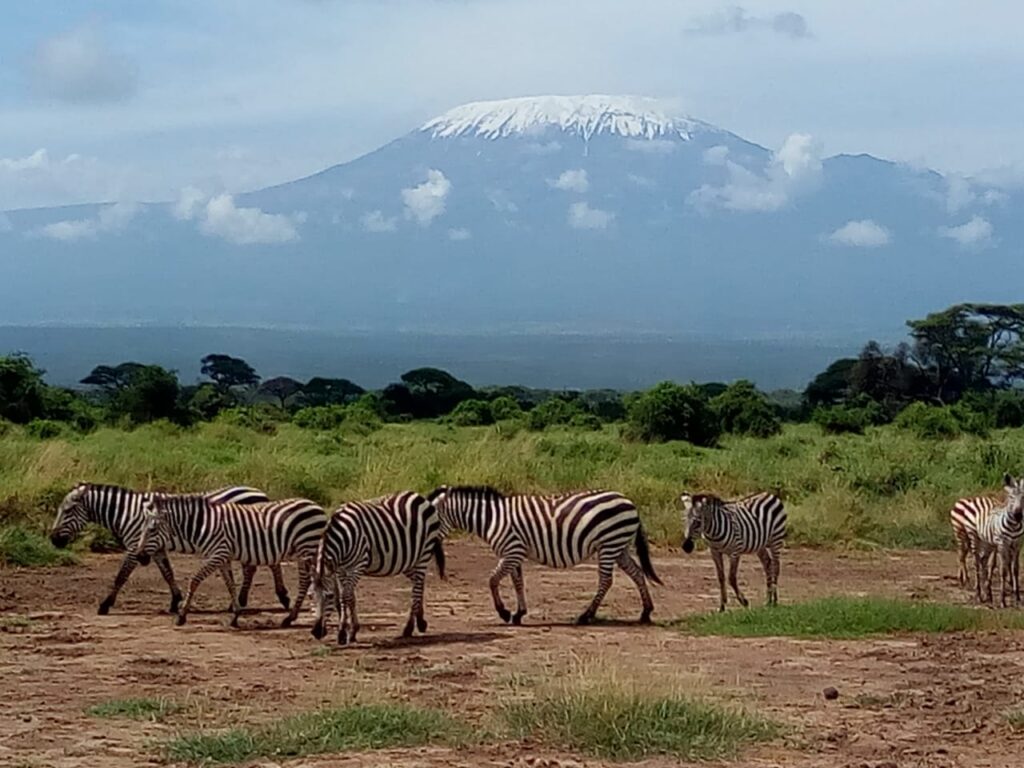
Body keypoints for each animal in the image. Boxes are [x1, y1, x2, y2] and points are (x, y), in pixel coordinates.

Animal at [50, 483, 290, 618]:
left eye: (68, 510)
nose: (53, 540)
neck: (128, 513)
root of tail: (259, 492)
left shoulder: (135, 545)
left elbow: (121, 576)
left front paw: (105, 605)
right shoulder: (154, 548)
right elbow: (168, 573)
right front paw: (176, 601)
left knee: (265, 564)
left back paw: (275, 598)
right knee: (260, 565)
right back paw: (244, 601)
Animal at [132, 495, 323, 626]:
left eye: (153, 530)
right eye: (143, 529)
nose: (140, 556)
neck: (204, 526)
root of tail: (316, 505)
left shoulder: (218, 554)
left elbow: (194, 580)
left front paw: (182, 615)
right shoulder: (223, 557)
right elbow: (230, 584)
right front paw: (236, 614)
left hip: (308, 548)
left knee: (305, 582)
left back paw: (292, 617)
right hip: (302, 552)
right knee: (307, 581)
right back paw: (292, 616)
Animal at [307, 493, 444, 643]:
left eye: (329, 596)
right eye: (310, 596)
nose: (316, 632)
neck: (344, 536)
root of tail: (418, 496)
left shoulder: (357, 567)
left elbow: (346, 597)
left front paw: (344, 632)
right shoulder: (340, 570)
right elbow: (349, 598)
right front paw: (351, 631)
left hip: (423, 556)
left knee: (417, 590)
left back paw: (408, 628)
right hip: (408, 561)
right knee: (419, 584)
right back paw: (420, 622)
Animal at [425, 487, 659, 626]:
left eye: (430, 516)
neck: (492, 518)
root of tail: (629, 502)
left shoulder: (512, 551)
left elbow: (492, 580)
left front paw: (504, 612)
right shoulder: (514, 553)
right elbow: (517, 582)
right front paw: (519, 614)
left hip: (609, 544)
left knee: (606, 580)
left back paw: (586, 615)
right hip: (619, 546)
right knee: (637, 573)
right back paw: (646, 613)